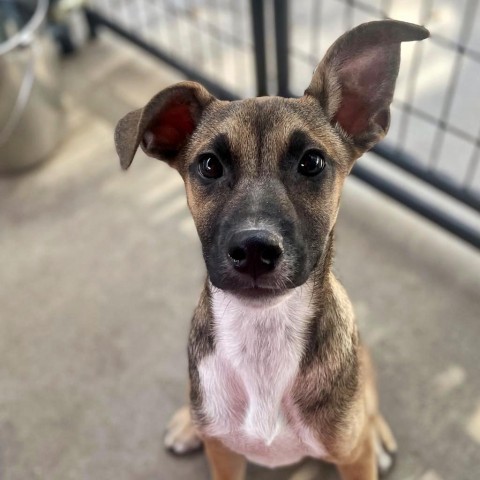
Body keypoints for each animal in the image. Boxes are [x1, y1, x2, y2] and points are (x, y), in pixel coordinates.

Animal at [114, 19, 430, 480]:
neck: (263, 337)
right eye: (209, 165)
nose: (254, 249)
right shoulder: (224, 457)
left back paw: (378, 435)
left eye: (312, 162)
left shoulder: (353, 461)